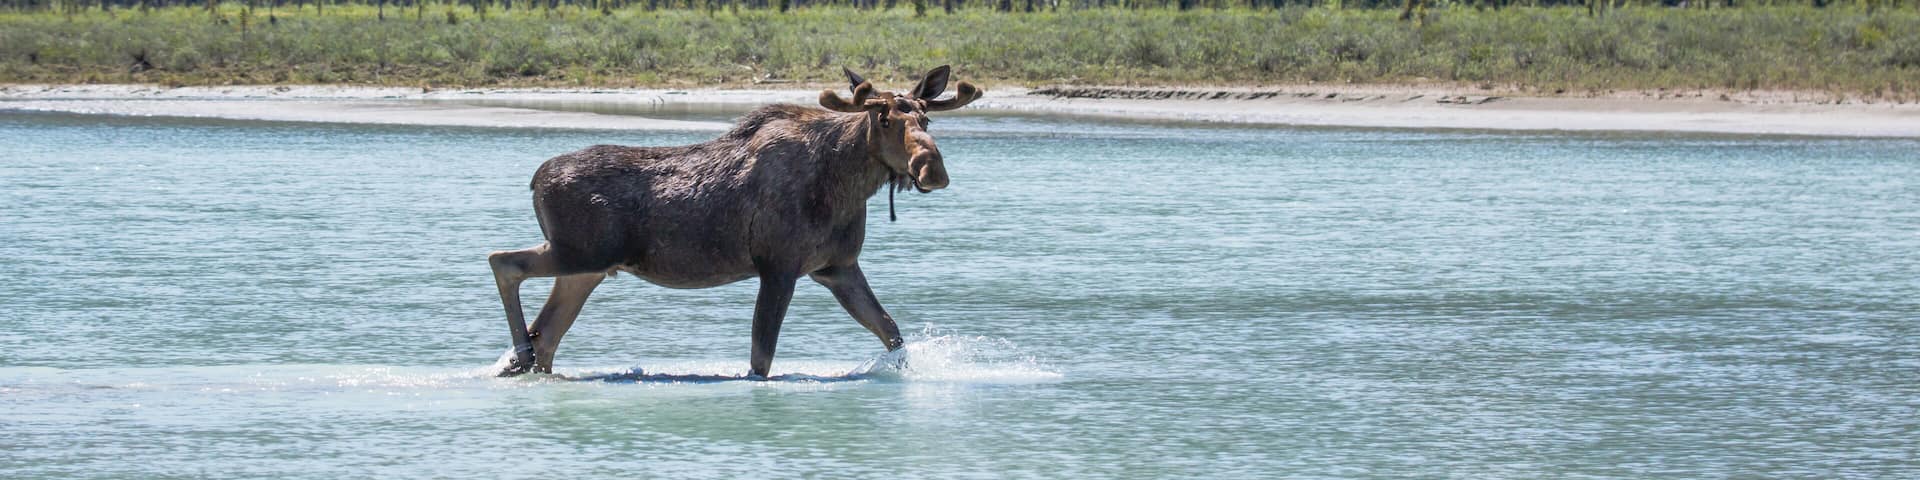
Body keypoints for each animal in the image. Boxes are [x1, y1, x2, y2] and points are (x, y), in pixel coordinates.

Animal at [486, 66, 983, 378]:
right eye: (882, 118)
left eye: (925, 118)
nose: (931, 169)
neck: (846, 183)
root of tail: (535, 180)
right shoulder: (778, 266)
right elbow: (761, 359)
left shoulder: (837, 268)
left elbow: (892, 333)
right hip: (579, 252)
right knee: (503, 262)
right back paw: (518, 353)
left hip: (585, 270)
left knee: (547, 332)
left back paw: (523, 359)